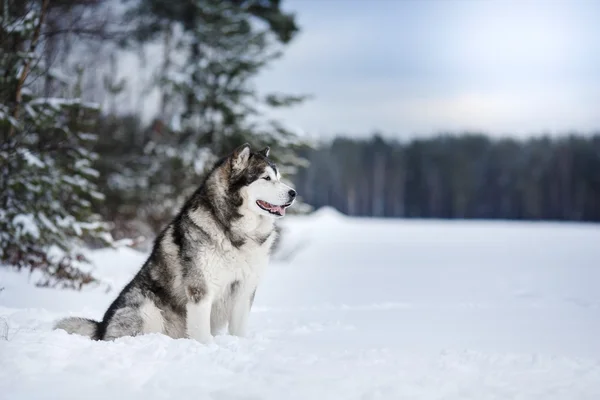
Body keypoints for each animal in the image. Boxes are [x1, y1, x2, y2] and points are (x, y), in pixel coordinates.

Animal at [55, 142, 298, 342]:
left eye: (278, 177)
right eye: (266, 178)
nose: (293, 193)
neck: (235, 233)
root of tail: (101, 327)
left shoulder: (245, 290)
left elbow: (239, 330)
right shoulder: (201, 291)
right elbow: (203, 334)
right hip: (147, 309)